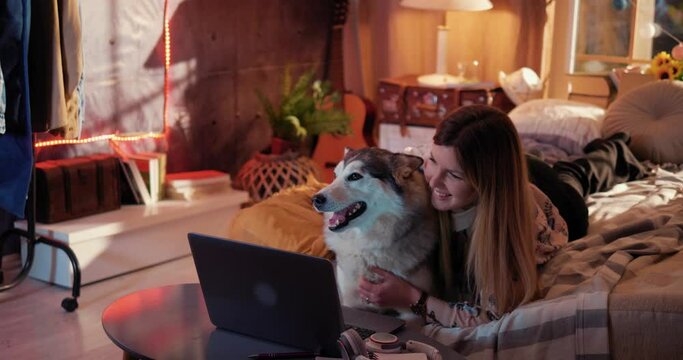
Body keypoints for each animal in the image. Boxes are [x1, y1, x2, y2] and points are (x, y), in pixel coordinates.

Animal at [312, 148, 436, 314]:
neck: (367, 246)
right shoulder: (350, 304)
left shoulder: (411, 314)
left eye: (355, 176)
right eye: (335, 175)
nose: (315, 199)